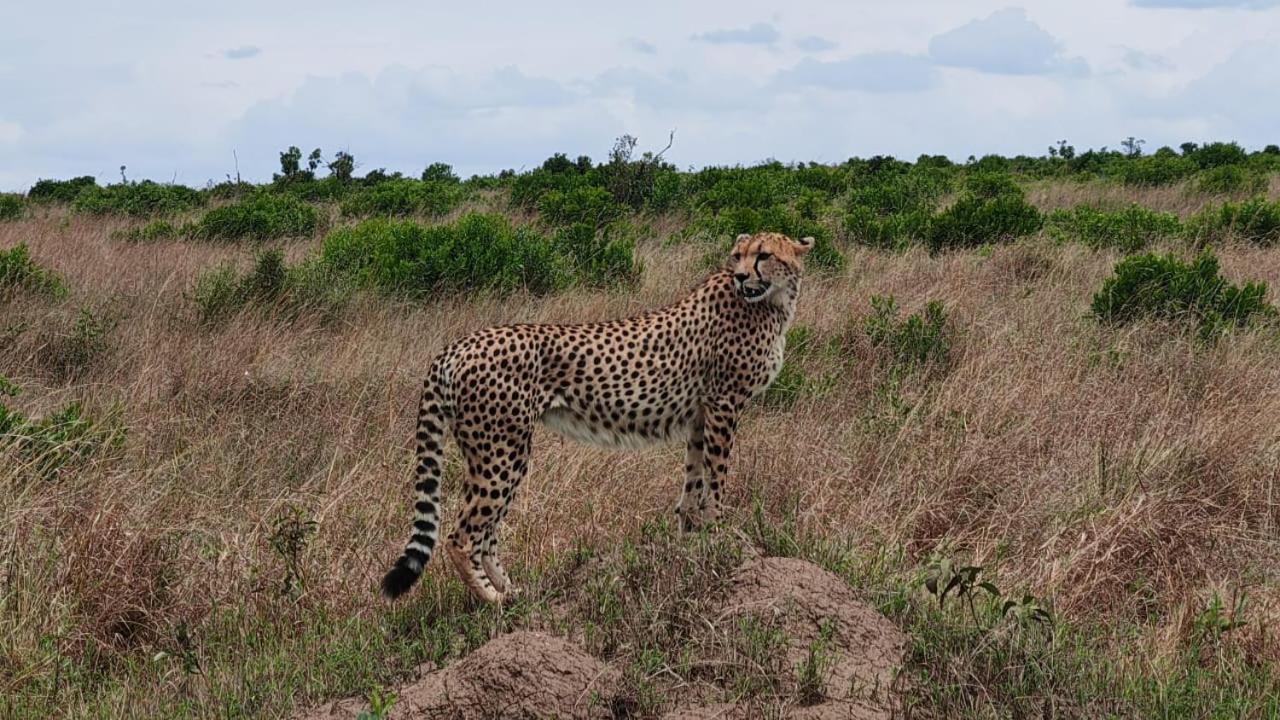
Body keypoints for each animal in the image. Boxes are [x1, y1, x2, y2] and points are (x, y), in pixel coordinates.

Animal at [378, 229, 808, 599]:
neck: (771, 302)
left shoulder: (701, 414)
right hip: (502, 450)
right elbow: (716, 476)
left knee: (487, 534)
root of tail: (458, 344)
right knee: (464, 536)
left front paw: (690, 536)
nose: (740, 276)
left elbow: (694, 479)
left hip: (497, 451)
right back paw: (493, 600)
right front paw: (719, 530)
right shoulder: (724, 404)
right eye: (739, 255)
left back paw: (513, 592)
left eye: (763, 255)